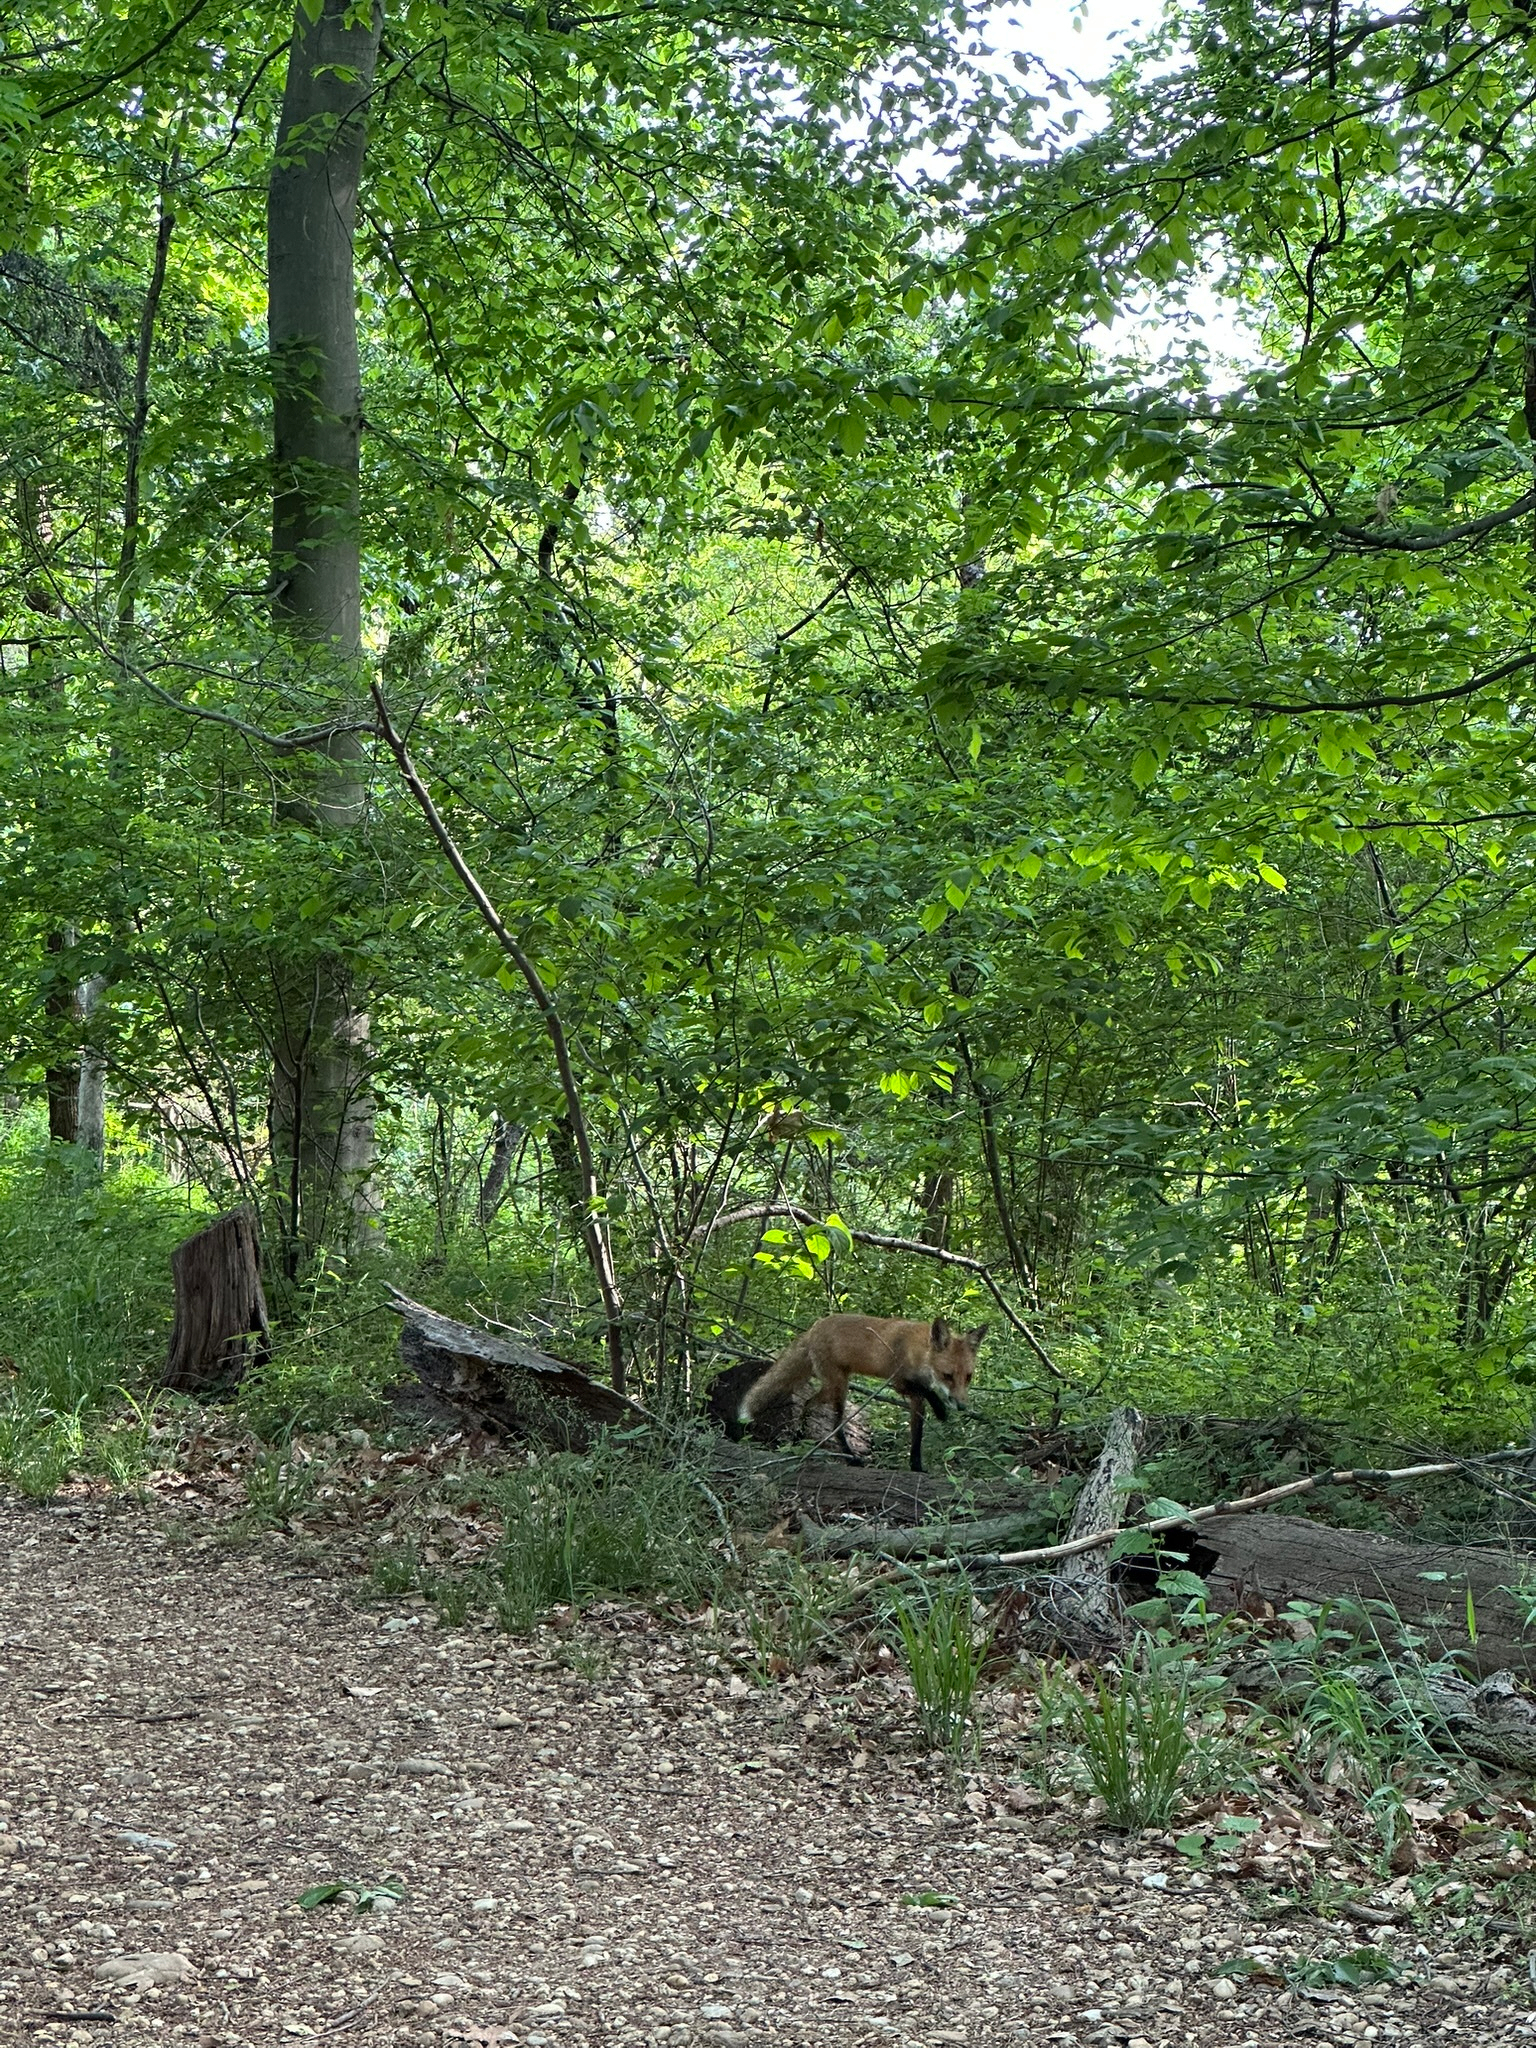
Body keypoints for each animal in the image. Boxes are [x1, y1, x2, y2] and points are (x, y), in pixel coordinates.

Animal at [733, 1314, 987, 1472]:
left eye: (968, 1377)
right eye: (947, 1376)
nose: (962, 1406)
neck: (917, 1352)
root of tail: (813, 1327)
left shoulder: (915, 1399)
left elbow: (917, 1437)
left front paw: (917, 1467)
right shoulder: (899, 1382)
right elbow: (928, 1391)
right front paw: (942, 1410)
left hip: (833, 1386)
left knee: (808, 1403)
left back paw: (799, 1438)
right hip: (838, 1388)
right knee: (834, 1423)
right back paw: (850, 1456)